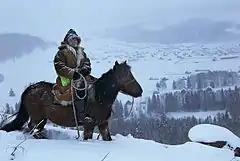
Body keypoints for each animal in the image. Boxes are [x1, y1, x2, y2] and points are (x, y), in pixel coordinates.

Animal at [0, 60, 142, 141]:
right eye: (124, 75)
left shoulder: (103, 124)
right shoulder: (88, 124)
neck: (98, 97)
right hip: (36, 118)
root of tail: (30, 89)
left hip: (42, 119)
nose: (140, 91)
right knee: (31, 129)